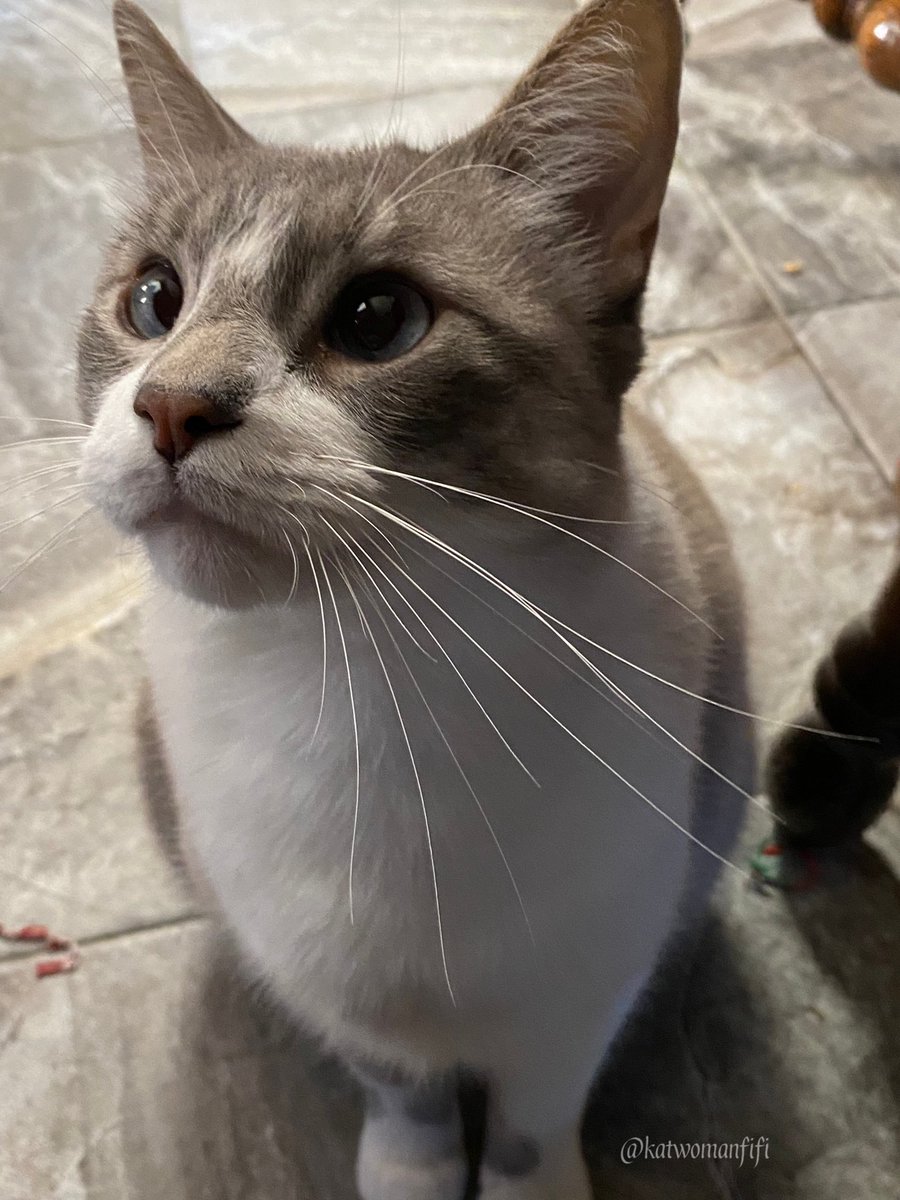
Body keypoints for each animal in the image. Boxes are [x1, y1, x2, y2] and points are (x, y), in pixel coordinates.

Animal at [75, 2, 753, 1200]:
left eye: (378, 318)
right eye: (155, 301)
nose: (169, 405)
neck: (356, 678)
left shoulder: (585, 985)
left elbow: (531, 1121)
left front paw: (527, 1184)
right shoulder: (331, 987)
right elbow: (404, 1093)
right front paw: (413, 1169)